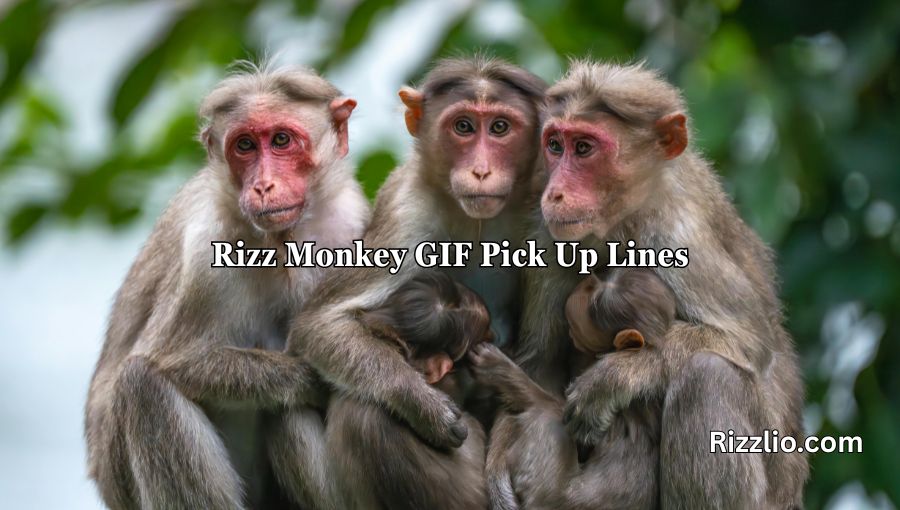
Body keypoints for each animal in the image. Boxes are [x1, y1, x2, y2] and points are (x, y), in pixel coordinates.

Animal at [84, 64, 371, 510]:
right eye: (245, 146)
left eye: (282, 140)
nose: (263, 186)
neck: (278, 241)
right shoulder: (206, 250)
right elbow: (171, 358)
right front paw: (306, 378)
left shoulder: (349, 223)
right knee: (142, 385)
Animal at [288, 56, 547, 450]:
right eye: (464, 126)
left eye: (500, 127)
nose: (481, 171)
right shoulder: (406, 210)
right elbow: (319, 324)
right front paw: (424, 405)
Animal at [514, 60, 808, 509]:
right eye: (555, 145)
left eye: (584, 148)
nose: (556, 193)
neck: (624, 218)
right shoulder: (548, 235)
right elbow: (540, 363)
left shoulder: (677, 234)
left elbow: (750, 342)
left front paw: (617, 377)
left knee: (707, 377)